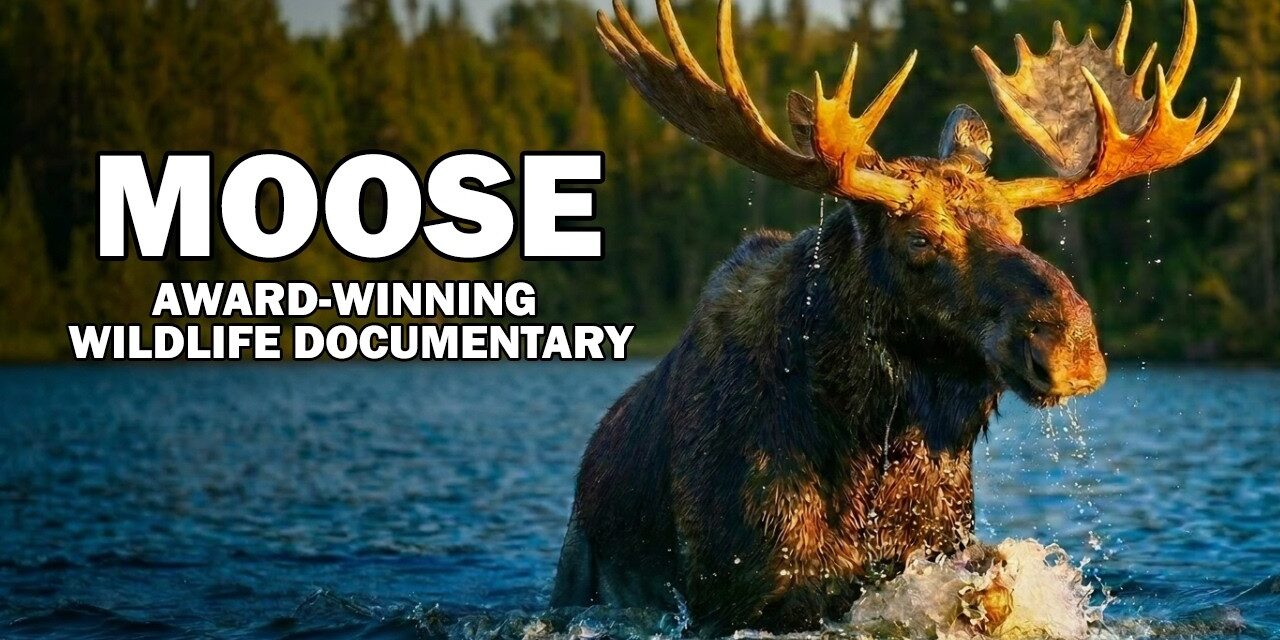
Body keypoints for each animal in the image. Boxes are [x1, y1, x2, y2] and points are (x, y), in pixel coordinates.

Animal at [552, 0, 1238, 634]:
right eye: (920, 241)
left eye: (1017, 228)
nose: (1071, 343)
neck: (873, 443)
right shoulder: (735, 593)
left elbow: (993, 582)